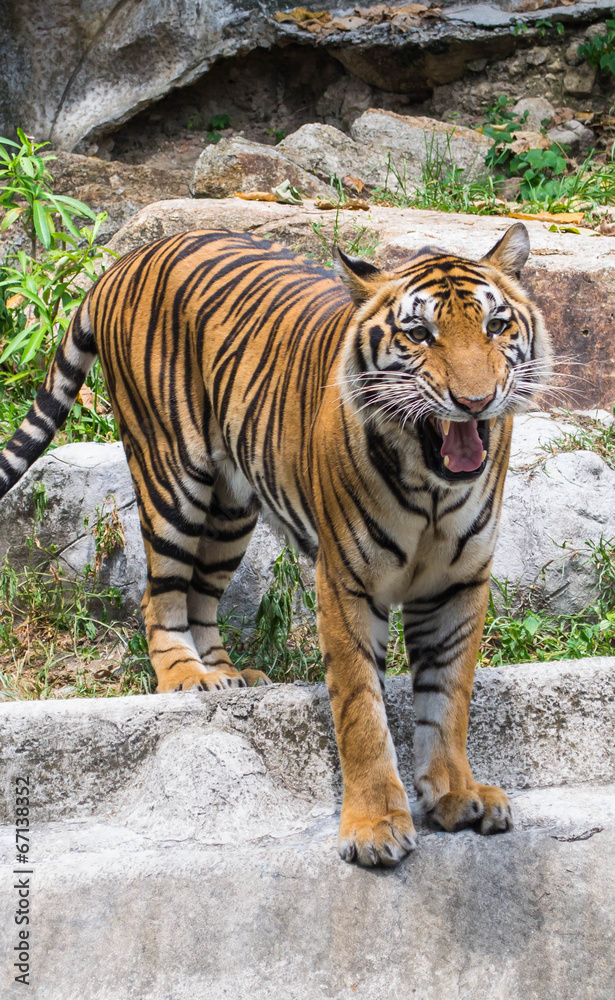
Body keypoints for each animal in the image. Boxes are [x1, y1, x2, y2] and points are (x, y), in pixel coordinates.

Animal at [0, 223, 551, 866]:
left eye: (497, 325)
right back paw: (186, 677)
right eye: (419, 334)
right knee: (160, 595)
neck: (432, 484)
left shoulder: (460, 582)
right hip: (171, 474)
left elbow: (449, 698)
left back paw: (228, 676)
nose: (475, 402)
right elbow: (360, 706)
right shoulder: (345, 583)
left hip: (231, 508)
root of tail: (125, 259)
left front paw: (457, 794)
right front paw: (373, 825)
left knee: (202, 594)